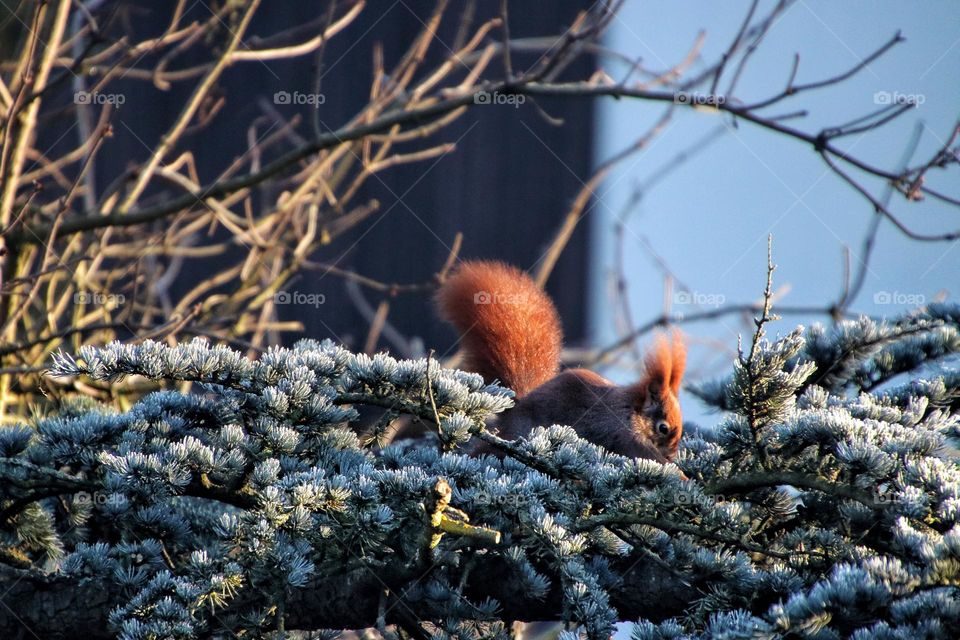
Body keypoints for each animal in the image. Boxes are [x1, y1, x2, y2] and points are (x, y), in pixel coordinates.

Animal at [438, 260, 688, 464]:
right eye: (663, 428)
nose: (672, 455)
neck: (630, 410)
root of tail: (515, 408)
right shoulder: (624, 435)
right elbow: (643, 455)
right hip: (520, 436)